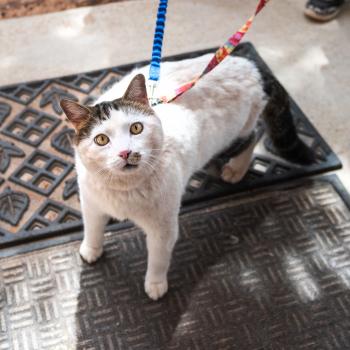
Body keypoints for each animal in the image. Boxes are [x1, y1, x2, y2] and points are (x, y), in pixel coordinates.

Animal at [60, 45, 314, 300]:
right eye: (101, 140)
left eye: (136, 128)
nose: (125, 152)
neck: (124, 189)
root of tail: (250, 64)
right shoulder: (91, 204)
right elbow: (92, 228)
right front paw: (91, 249)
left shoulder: (163, 228)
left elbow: (159, 259)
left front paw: (155, 284)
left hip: (232, 136)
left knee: (254, 136)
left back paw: (235, 170)